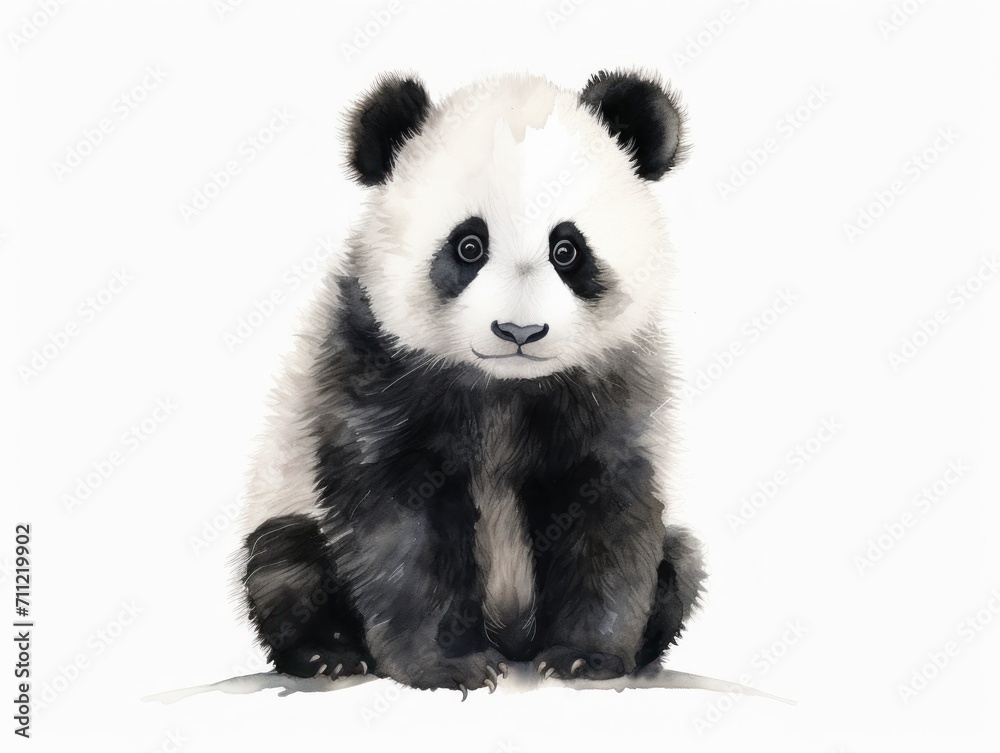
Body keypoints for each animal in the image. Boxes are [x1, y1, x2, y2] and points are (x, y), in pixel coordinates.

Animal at [237, 69, 706, 697]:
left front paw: (585, 657)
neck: (504, 386)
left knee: (681, 561)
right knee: (282, 561)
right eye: (468, 246)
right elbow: (400, 523)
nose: (519, 331)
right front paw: (447, 665)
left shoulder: (609, 387)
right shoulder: (372, 367)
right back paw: (327, 654)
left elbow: (605, 509)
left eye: (567, 250)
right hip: (287, 495)